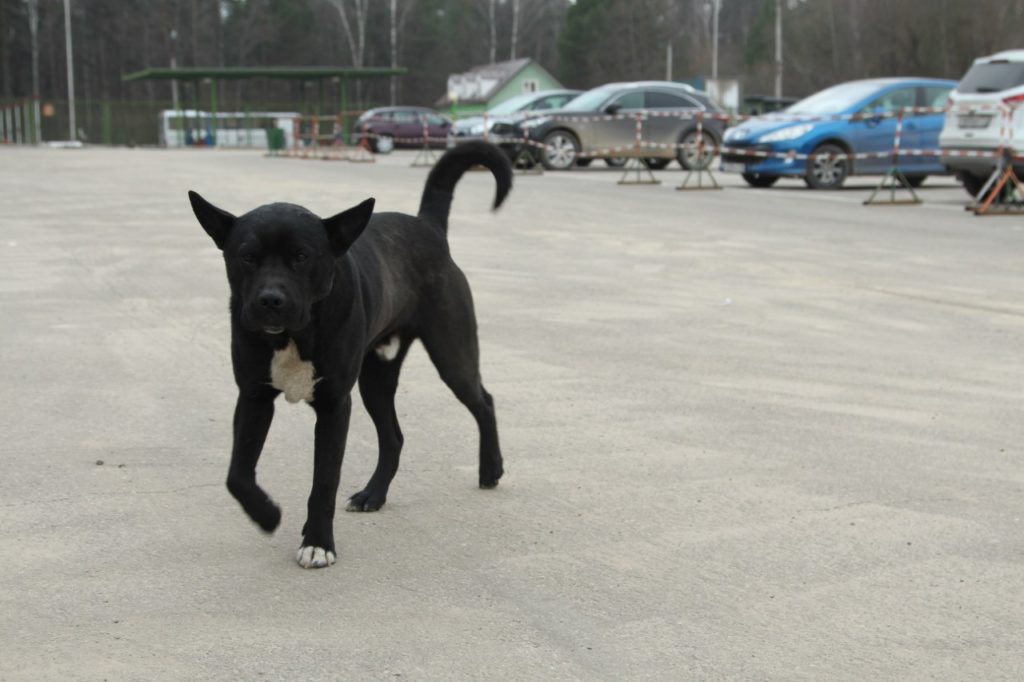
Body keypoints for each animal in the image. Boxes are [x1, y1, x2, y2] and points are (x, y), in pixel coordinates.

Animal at [190, 140, 509, 565]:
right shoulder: (254, 398)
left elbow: (324, 481)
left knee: (483, 401)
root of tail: (427, 226)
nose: (270, 301)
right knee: (393, 438)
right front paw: (267, 514)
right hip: (375, 378)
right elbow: (237, 475)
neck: (293, 334)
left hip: (451, 354)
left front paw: (317, 542)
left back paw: (491, 468)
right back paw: (374, 494)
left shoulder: (334, 406)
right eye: (247, 256)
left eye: (301, 257)